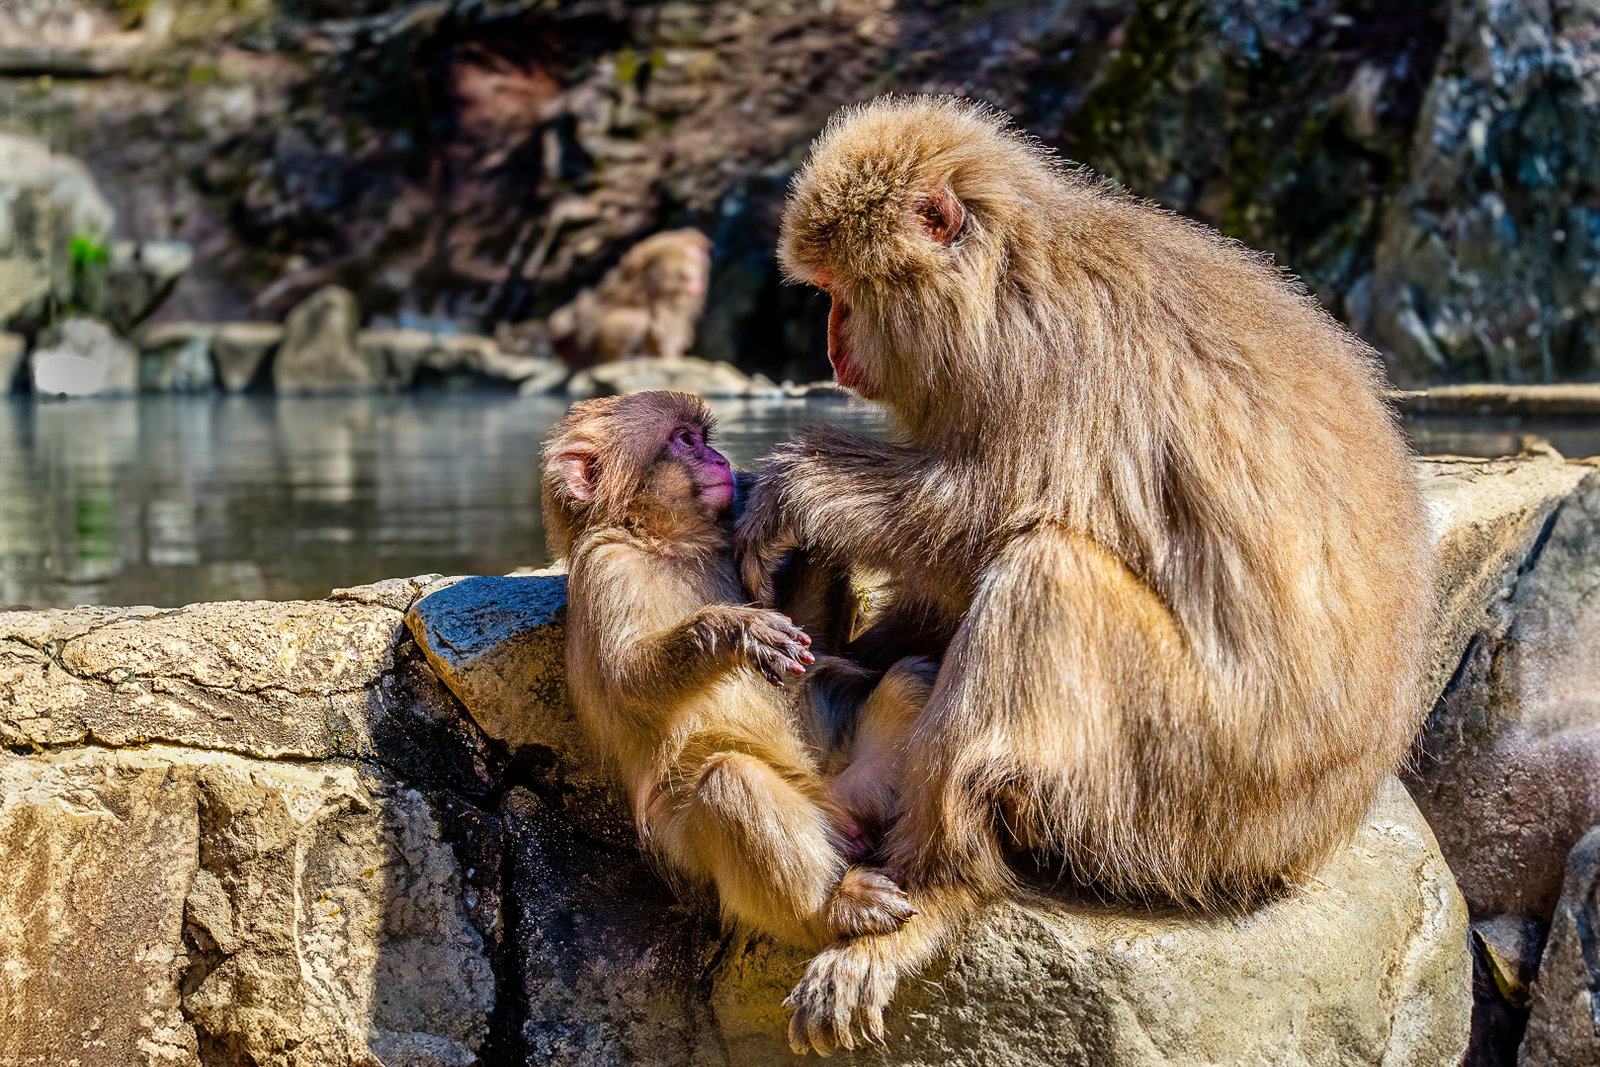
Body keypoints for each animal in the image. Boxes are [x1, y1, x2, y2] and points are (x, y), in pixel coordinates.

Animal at [540, 391, 928, 953]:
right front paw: (732, 630)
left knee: (911, 680)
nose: (721, 459)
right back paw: (834, 907)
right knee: (730, 781)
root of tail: (834, 809)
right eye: (685, 441)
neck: (669, 543)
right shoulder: (604, 568)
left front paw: (798, 520)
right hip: (689, 852)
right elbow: (627, 685)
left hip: (855, 788)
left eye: (704, 438)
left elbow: (811, 644)